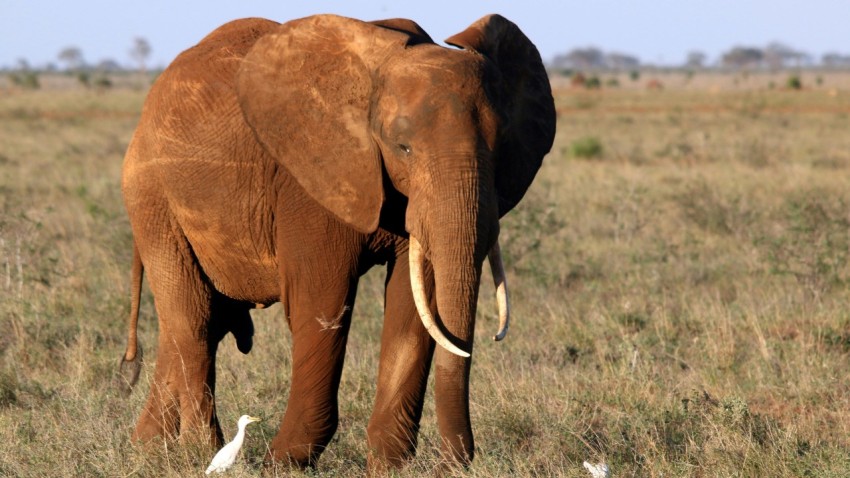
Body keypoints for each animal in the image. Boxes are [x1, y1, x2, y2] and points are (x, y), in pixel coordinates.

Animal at [116, 13, 555, 471]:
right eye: (403, 147)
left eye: (500, 147)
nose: (451, 464)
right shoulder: (308, 180)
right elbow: (321, 304)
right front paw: (282, 463)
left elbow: (414, 308)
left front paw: (389, 467)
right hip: (151, 198)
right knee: (193, 319)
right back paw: (200, 452)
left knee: (197, 323)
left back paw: (149, 449)